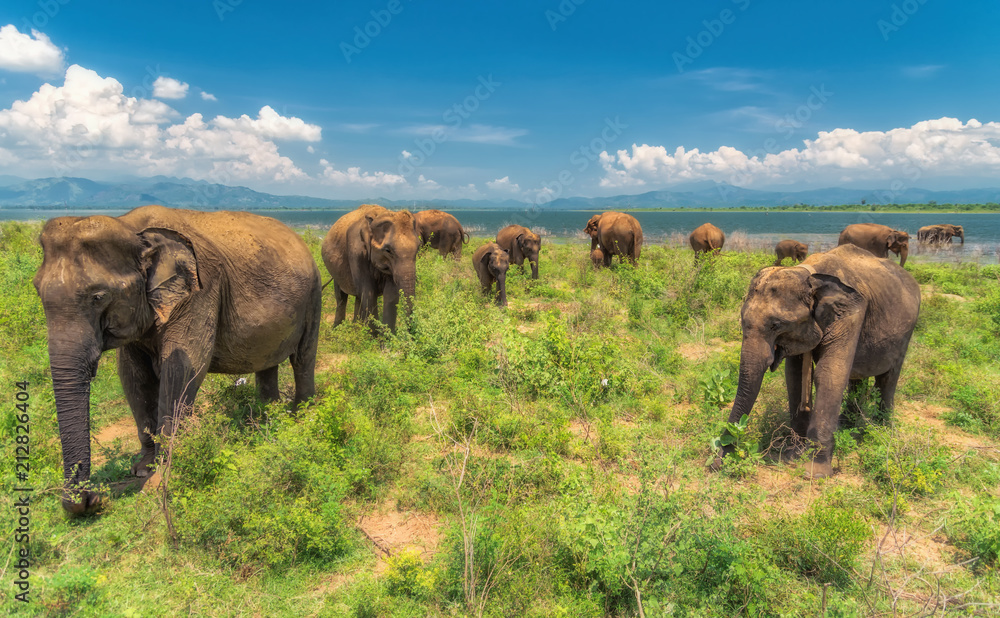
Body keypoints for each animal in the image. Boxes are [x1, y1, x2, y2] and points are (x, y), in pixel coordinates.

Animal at [33, 205, 322, 515]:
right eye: (36, 290)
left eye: (99, 297)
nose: (93, 499)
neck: (130, 227)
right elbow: (133, 375)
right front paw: (142, 468)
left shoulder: (200, 291)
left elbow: (184, 367)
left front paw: (160, 478)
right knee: (268, 363)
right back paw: (266, 416)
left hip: (314, 294)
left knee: (303, 358)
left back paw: (301, 416)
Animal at [322, 204, 419, 334]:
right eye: (388, 250)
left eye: (418, 248)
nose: (411, 333)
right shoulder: (356, 252)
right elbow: (368, 293)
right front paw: (373, 337)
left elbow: (391, 295)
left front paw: (386, 338)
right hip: (335, 270)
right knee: (341, 296)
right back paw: (337, 330)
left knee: (358, 297)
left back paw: (356, 329)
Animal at [710, 244, 920, 478]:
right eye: (742, 321)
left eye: (776, 325)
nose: (717, 463)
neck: (809, 275)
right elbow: (794, 375)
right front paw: (794, 454)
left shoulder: (849, 314)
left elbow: (829, 373)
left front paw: (815, 473)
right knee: (857, 378)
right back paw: (848, 425)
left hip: (906, 331)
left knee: (888, 378)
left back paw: (882, 428)